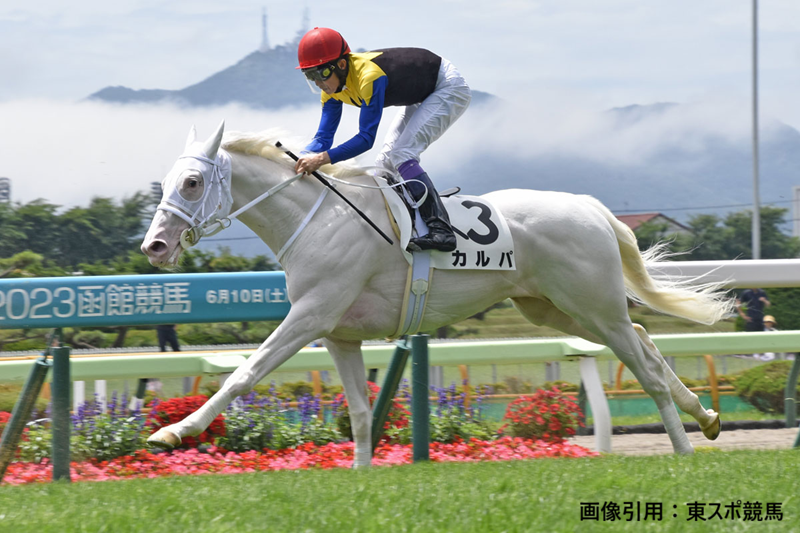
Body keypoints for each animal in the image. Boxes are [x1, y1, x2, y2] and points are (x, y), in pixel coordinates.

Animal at [142, 121, 734, 464]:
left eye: (192, 183)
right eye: (167, 183)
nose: (154, 245)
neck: (319, 217)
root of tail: (591, 208)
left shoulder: (311, 314)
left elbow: (246, 372)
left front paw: (174, 431)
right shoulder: (339, 334)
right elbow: (360, 412)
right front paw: (360, 474)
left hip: (593, 306)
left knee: (645, 365)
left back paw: (683, 447)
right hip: (555, 310)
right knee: (643, 339)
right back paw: (706, 419)